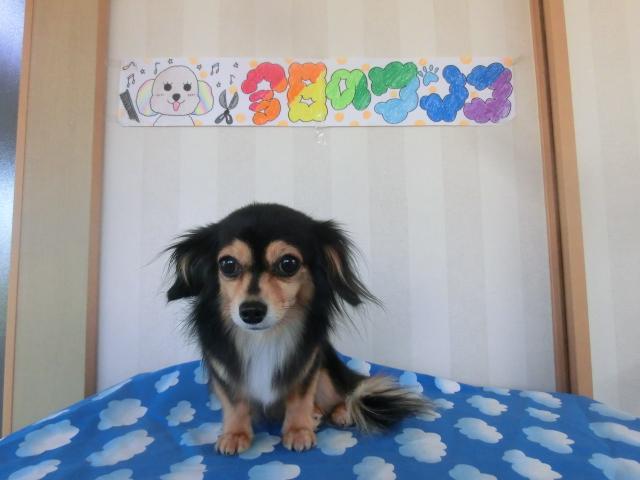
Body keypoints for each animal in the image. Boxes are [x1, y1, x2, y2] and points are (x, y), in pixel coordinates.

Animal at [166, 203, 431, 454]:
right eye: (228, 265)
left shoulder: (307, 364)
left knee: (344, 393)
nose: (251, 311)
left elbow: (299, 397)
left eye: (288, 263)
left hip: (327, 372)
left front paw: (298, 430)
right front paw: (235, 433)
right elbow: (235, 402)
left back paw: (336, 412)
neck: (264, 337)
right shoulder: (224, 371)